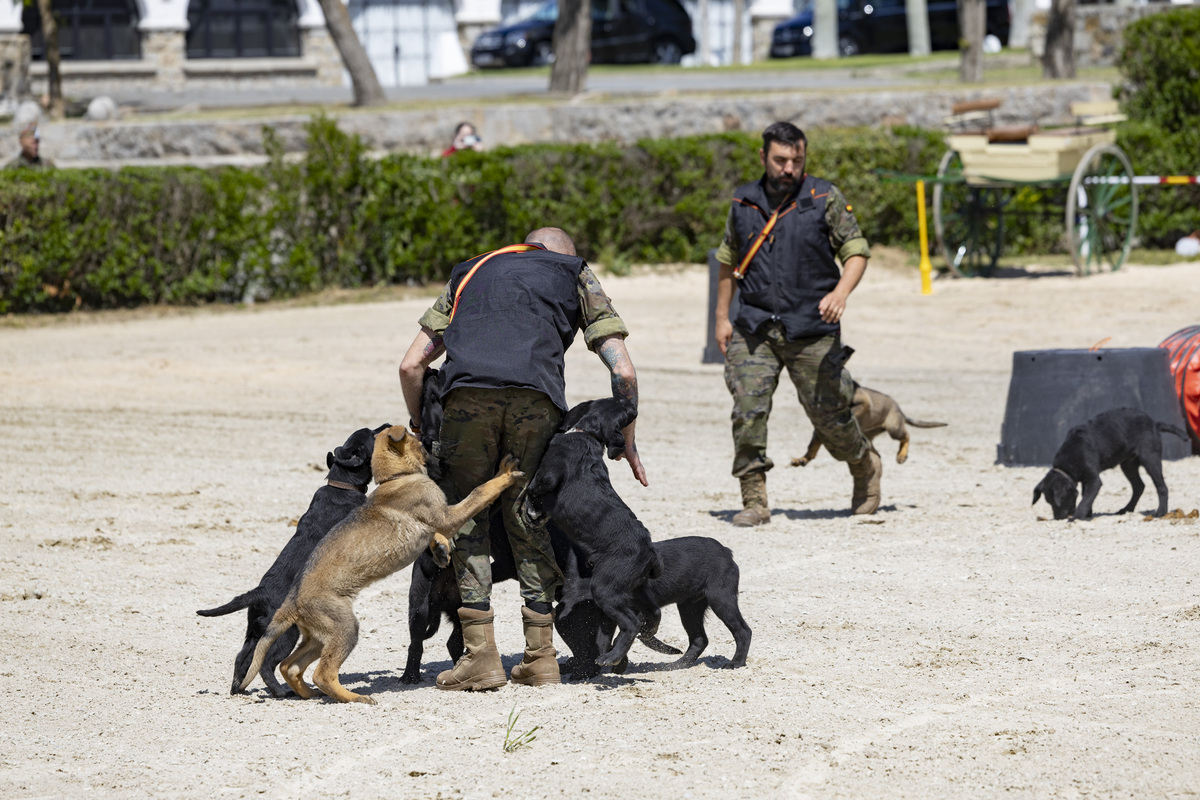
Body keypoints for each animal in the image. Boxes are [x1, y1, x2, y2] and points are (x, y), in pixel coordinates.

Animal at [195, 424, 384, 695]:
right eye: (371, 434)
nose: (386, 426)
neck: (341, 484)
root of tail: (260, 592)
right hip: (286, 633)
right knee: (266, 663)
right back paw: (281, 692)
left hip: (257, 632)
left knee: (243, 657)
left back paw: (239, 689)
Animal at [240, 429, 525, 705]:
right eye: (423, 446)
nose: (446, 463)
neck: (397, 478)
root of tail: (292, 602)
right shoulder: (447, 516)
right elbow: (480, 492)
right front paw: (504, 474)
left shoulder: (437, 522)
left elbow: (437, 534)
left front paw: (441, 549)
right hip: (345, 627)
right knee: (322, 673)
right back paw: (353, 697)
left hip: (319, 637)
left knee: (290, 666)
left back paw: (309, 694)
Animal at [520, 398, 662, 666]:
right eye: (621, 406)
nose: (634, 406)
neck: (587, 434)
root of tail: (649, 550)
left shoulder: (547, 474)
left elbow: (533, 488)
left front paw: (532, 510)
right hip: (632, 587)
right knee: (653, 612)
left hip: (606, 587)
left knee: (631, 622)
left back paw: (611, 657)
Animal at [792, 383, 950, 465]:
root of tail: (901, 411)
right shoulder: (819, 432)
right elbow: (812, 447)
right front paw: (803, 459)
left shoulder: (864, 403)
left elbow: (852, 411)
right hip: (871, 434)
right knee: (876, 452)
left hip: (893, 428)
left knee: (906, 436)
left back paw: (901, 455)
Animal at [1032, 410, 1190, 522]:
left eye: (1057, 501)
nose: (1058, 518)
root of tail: (1154, 424)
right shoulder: (1086, 479)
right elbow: (1086, 496)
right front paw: (1087, 514)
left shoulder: (1094, 479)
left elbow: (1085, 499)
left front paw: (1077, 517)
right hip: (1128, 465)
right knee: (1139, 486)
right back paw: (1127, 509)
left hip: (1150, 459)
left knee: (1161, 487)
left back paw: (1161, 511)